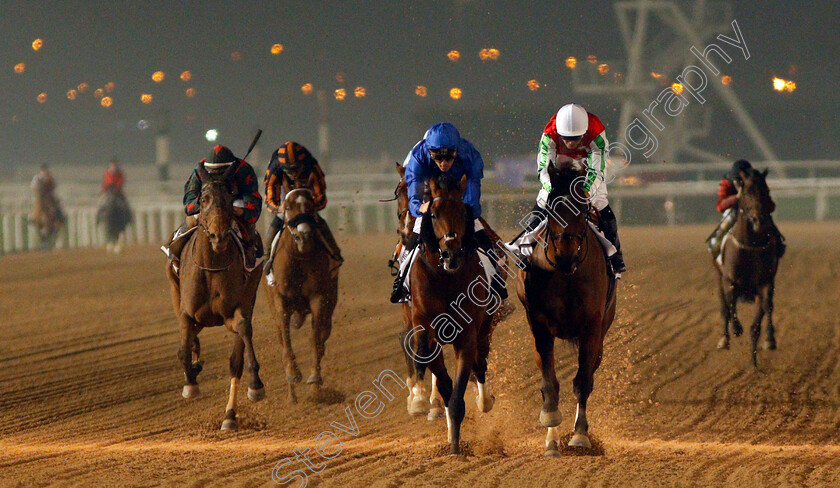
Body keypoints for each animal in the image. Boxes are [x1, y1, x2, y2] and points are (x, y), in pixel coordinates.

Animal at [166, 162, 264, 428]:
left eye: (230, 199)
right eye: (203, 198)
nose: (218, 236)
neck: (210, 266)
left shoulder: (235, 310)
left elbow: (242, 334)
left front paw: (256, 385)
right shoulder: (187, 312)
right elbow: (182, 350)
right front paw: (191, 382)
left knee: (235, 359)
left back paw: (230, 415)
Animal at [266, 189, 338, 402]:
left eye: (311, 205)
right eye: (289, 206)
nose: (304, 235)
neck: (299, 258)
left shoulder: (319, 298)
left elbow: (315, 340)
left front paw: (314, 378)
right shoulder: (280, 301)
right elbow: (286, 340)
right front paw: (293, 373)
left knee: (322, 338)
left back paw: (316, 391)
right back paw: (292, 396)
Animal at [408, 173, 496, 454]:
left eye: (463, 212)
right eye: (434, 214)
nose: (451, 253)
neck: (445, 278)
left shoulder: (467, 336)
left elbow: (458, 393)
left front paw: (457, 449)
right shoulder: (426, 332)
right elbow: (445, 386)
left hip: (485, 328)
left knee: (480, 365)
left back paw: (484, 401)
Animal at [512, 163, 616, 458]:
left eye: (582, 210)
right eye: (550, 210)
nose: (565, 256)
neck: (566, 276)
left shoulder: (592, 328)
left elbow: (582, 382)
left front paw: (579, 436)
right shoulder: (539, 325)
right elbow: (549, 383)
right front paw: (551, 428)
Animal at [716, 168, 780, 366]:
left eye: (766, 191)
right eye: (747, 192)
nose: (759, 219)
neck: (750, 246)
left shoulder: (765, 282)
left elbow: (759, 320)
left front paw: (755, 361)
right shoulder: (729, 279)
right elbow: (729, 304)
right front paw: (736, 328)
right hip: (718, 276)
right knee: (724, 306)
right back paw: (724, 339)